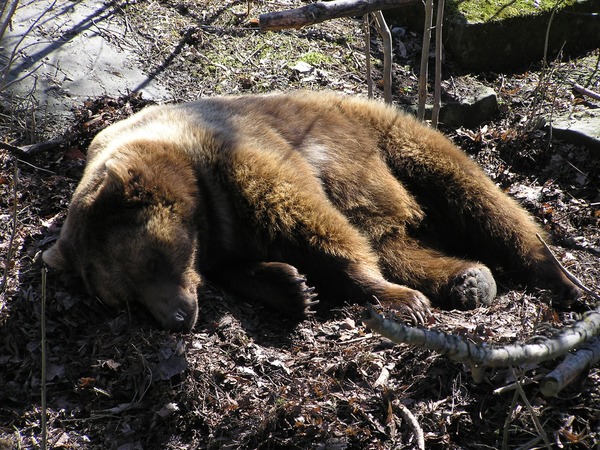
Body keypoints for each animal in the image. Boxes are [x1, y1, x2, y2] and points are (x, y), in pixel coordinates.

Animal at [42, 90, 576, 330]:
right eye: (125, 298)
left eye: (155, 259)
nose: (177, 316)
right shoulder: (218, 242)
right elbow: (246, 267)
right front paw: (294, 287)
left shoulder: (240, 157)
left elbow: (309, 220)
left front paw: (396, 297)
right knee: (397, 242)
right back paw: (468, 279)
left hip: (382, 137)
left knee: (473, 195)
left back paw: (558, 275)